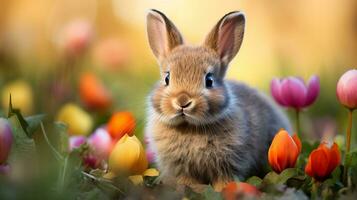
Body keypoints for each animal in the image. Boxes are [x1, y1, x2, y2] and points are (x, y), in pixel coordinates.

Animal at [143, 9, 290, 192]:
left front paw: (222, 190)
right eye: (167, 79)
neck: (190, 127)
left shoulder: (229, 163)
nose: (183, 101)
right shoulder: (181, 167)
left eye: (209, 80)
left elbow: (224, 180)